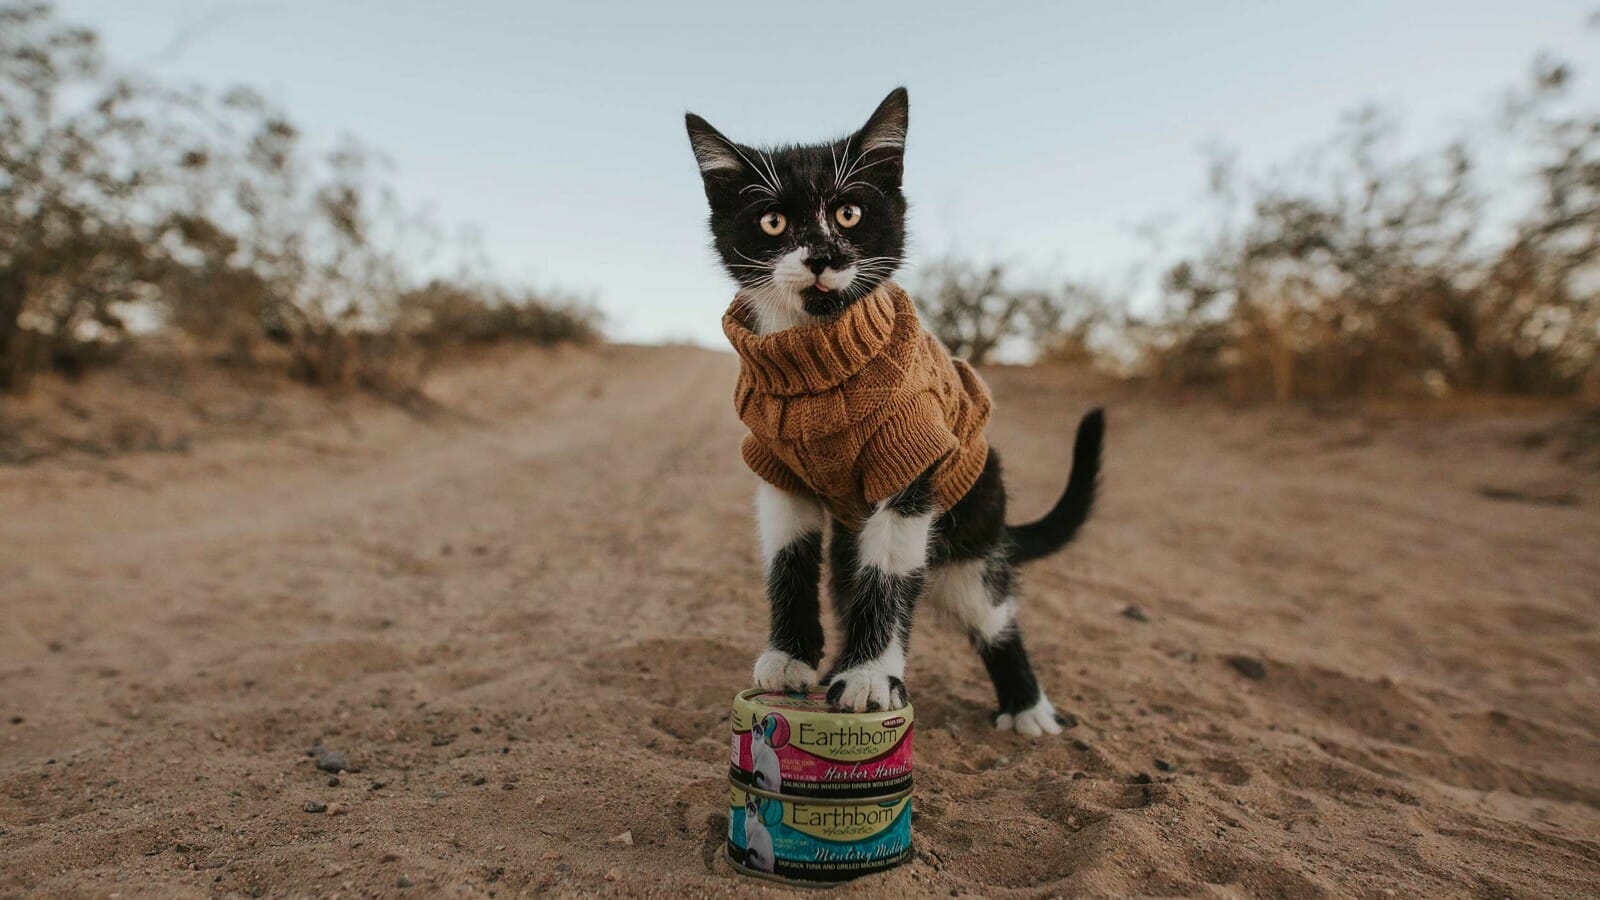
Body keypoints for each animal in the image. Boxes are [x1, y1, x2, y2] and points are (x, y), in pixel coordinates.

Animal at [681, 87, 1107, 736]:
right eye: (773, 221)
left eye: (849, 214)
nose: (822, 256)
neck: (818, 363)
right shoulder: (777, 468)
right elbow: (788, 562)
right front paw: (791, 658)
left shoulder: (909, 462)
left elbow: (888, 578)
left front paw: (868, 678)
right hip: (851, 539)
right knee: (846, 583)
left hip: (970, 533)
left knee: (992, 611)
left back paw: (1027, 705)